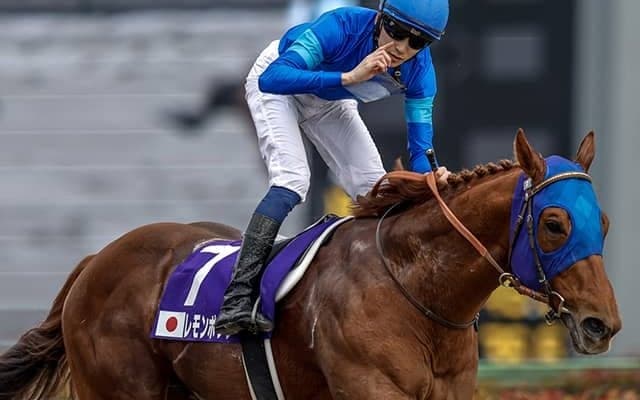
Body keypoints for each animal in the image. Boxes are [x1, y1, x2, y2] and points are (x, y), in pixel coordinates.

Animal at [0, 129, 621, 400]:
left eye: (605, 222)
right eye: (555, 223)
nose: (603, 324)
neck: (414, 289)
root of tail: (96, 260)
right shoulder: (370, 390)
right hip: (119, 390)